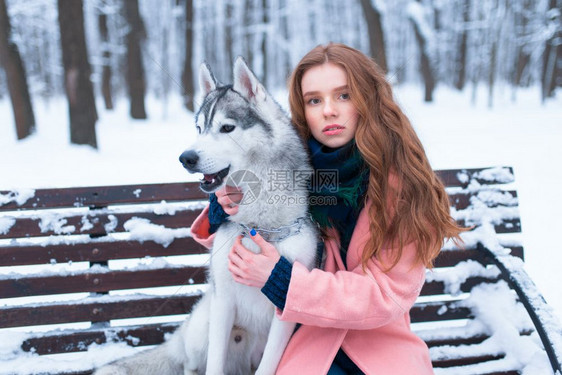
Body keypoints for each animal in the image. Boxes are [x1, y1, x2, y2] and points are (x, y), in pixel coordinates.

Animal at [94, 57, 318, 374]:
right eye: (199, 128)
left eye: (227, 127)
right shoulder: (223, 300)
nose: (186, 158)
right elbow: (214, 363)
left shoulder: (285, 309)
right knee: (190, 363)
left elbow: (269, 364)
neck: (258, 226)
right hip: (203, 325)